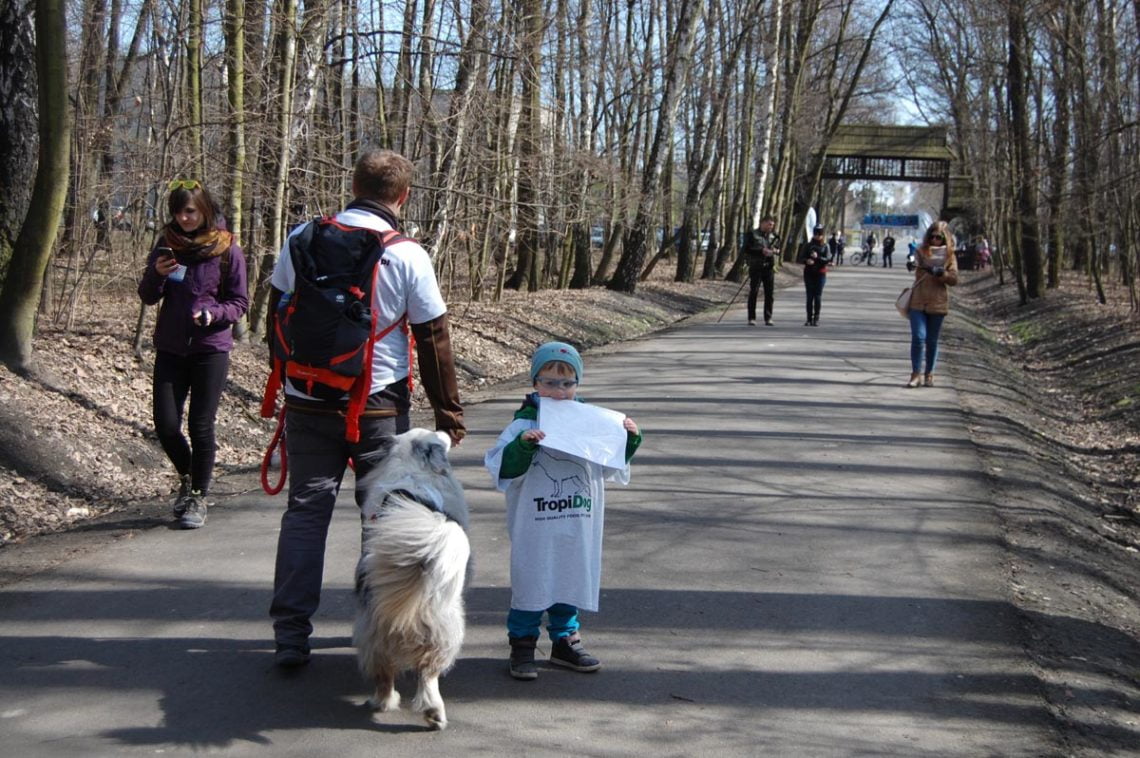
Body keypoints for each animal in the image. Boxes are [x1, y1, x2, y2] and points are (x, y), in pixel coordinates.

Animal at [351, 426, 467, 729]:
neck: (411, 469)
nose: (445, 430)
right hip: (445, 627)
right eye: (435, 437)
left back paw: (398, 705)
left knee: (386, 671)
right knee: (427, 675)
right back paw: (421, 710)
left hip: (375, 631)